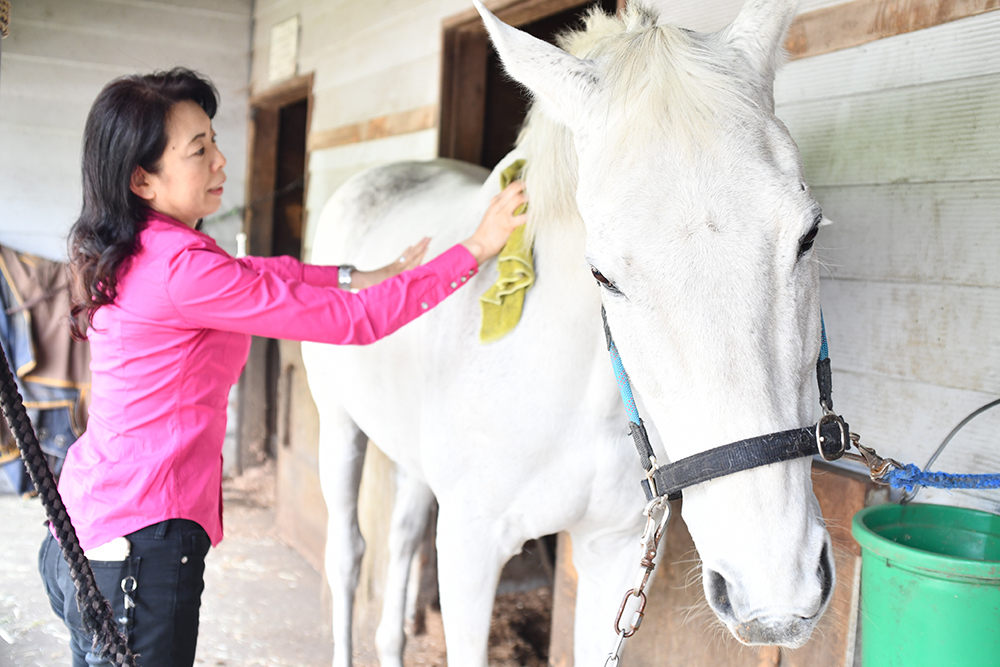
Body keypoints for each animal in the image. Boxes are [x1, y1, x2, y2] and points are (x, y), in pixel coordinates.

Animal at [300, 2, 832, 664]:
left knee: (399, 540)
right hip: (338, 424)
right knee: (348, 555)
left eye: (808, 234)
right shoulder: (469, 552)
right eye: (601, 274)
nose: (773, 591)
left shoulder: (613, 553)